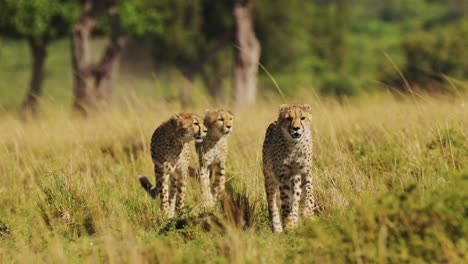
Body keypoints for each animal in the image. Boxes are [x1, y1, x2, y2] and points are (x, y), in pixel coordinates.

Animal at [264, 104, 314, 232]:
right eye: (289, 118)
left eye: (302, 118)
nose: (296, 128)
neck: (295, 145)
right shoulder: (283, 176)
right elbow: (285, 202)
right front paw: (288, 224)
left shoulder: (306, 172)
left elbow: (310, 193)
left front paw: (307, 213)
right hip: (269, 179)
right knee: (272, 203)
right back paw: (278, 228)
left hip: (295, 180)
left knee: (295, 200)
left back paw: (295, 223)